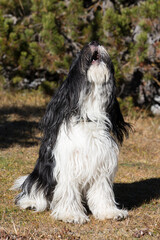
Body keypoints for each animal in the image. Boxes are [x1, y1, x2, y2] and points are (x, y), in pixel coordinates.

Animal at [12, 41, 130, 223]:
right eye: (79, 54)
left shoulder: (101, 165)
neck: (88, 115)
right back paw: (30, 202)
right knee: (32, 189)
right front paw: (71, 215)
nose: (94, 42)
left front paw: (109, 212)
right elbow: (68, 192)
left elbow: (102, 192)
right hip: (39, 175)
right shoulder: (68, 165)